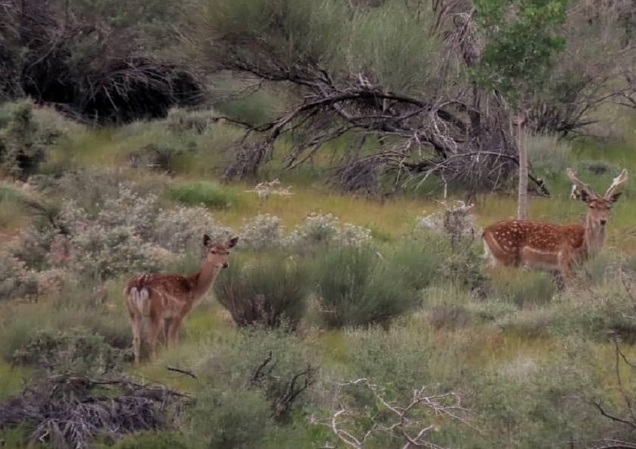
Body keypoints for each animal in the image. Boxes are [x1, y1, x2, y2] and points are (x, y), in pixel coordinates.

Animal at [124, 233, 238, 362]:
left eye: (227, 252)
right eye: (213, 251)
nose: (225, 264)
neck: (195, 288)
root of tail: (139, 285)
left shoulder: (168, 316)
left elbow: (167, 340)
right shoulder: (180, 312)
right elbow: (173, 340)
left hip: (132, 312)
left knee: (136, 340)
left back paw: (137, 364)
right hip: (156, 312)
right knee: (150, 340)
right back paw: (154, 362)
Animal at [484, 168, 628, 284]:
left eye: (608, 207)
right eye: (591, 206)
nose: (602, 221)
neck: (585, 246)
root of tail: (485, 232)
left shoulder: (577, 266)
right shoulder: (564, 262)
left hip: (496, 258)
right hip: (505, 257)